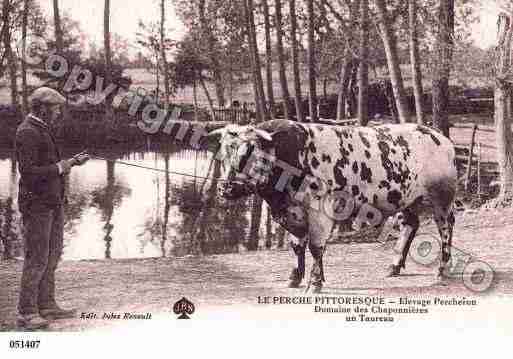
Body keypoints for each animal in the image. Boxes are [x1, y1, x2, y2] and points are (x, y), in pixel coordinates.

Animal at [202, 119, 454, 294]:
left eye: (248, 153)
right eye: (222, 153)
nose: (226, 188)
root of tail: (440, 137)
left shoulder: (319, 211)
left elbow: (316, 247)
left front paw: (314, 283)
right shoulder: (293, 212)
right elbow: (297, 246)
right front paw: (295, 277)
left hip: (442, 198)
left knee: (446, 228)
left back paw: (442, 271)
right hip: (404, 197)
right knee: (411, 224)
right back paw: (394, 266)